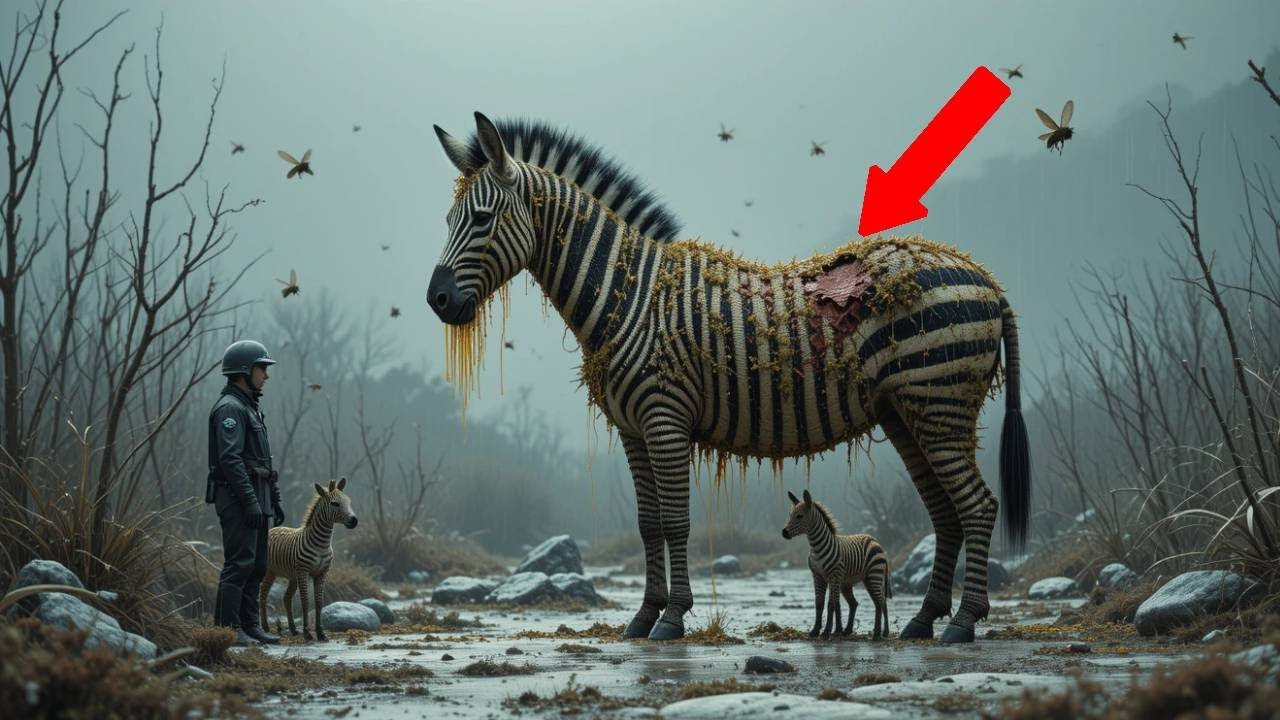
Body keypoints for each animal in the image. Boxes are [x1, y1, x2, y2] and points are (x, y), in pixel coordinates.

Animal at [258, 478, 358, 642]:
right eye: (335, 504)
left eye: (349, 502)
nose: (354, 521)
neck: (322, 543)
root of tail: (273, 528)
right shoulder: (303, 572)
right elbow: (305, 602)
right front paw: (307, 633)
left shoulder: (322, 573)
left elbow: (318, 602)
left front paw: (320, 633)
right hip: (270, 571)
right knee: (263, 593)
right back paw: (265, 627)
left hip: (291, 576)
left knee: (286, 598)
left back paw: (293, 629)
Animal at [781, 489, 892, 639]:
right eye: (790, 515)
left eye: (799, 516)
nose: (784, 533)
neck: (816, 547)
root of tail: (875, 540)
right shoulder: (818, 576)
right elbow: (819, 603)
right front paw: (815, 631)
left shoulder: (834, 576)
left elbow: (831, 604)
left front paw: (826, 632)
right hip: (859, 581)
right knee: (865, 603)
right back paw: (854, 631)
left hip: (874, 576)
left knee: (881, 602)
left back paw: (879, 634)